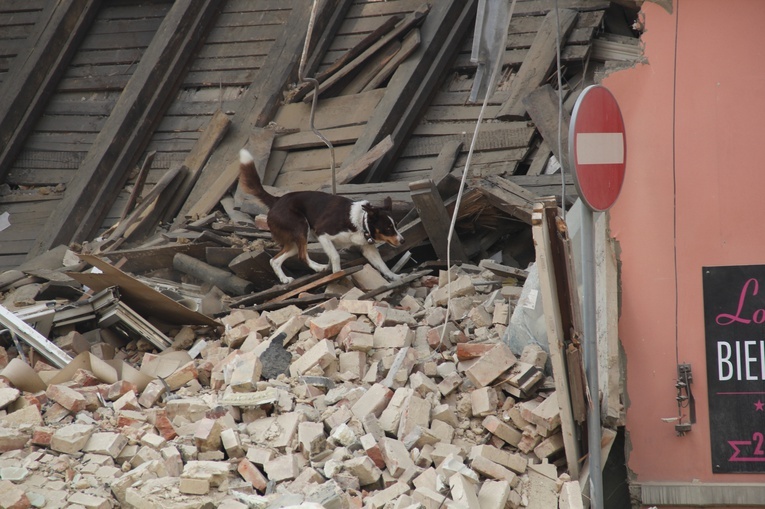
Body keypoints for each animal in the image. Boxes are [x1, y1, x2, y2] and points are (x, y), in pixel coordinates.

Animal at [239, 147, 406, 284]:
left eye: (395, 226)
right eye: (388, 228)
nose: (403, 241)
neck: (361, 222)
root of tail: (276, 200)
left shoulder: (367, 249)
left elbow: (382, 265)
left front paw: (395, 277)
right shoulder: (323, 233)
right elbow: (336, 256)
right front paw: (338, 273)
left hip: (294, 241)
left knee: (275, 260)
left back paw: (284, 279)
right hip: (301, 228)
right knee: (302, 256)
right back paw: (318, 267)